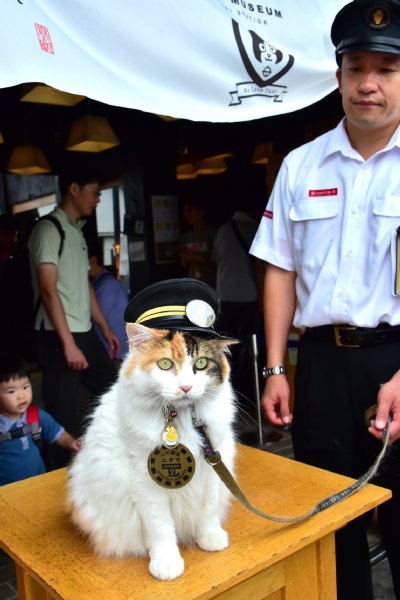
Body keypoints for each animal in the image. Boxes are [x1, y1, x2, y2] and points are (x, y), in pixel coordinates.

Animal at [67, 324, 238, 580]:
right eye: (165, 364)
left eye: (201, 364)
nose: (186, 387)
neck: (181, 420)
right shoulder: (144, 482)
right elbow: (161, 527)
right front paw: (166, 563)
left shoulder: (212, 465)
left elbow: (207, 510)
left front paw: (209, 537)